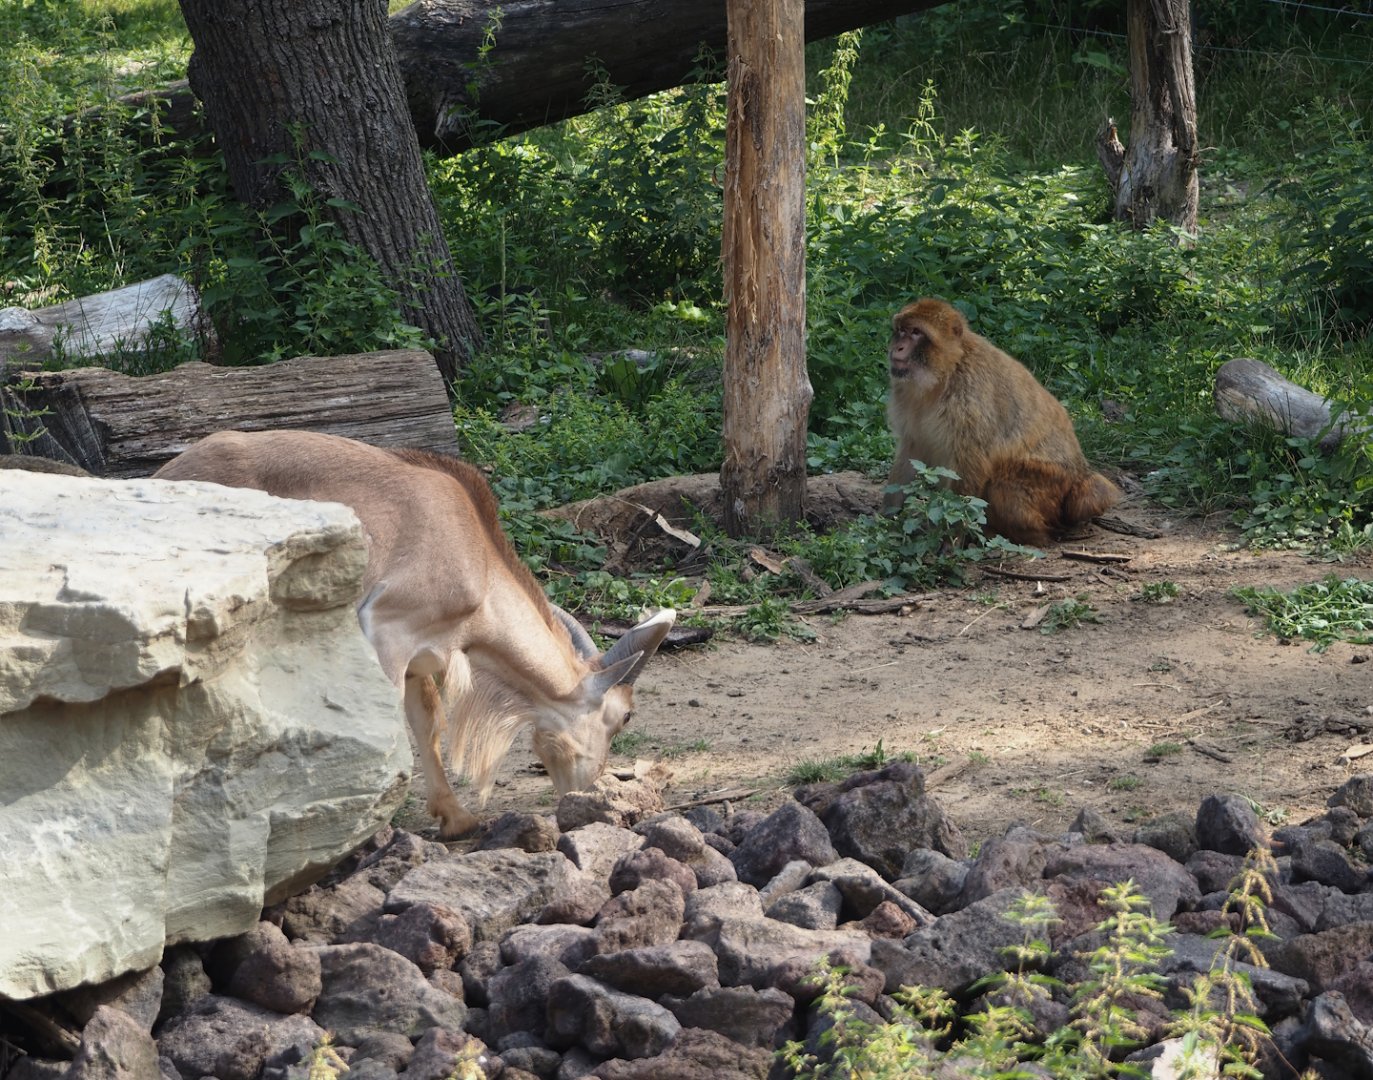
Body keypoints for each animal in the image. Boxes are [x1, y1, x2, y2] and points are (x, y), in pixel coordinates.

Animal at [883, 298, 1121, 547]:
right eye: (901, 330)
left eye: (916, 332)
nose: (897, 348)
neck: (944, 374)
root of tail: (1079, 476)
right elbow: (911, 451)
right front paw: (886, 521)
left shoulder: (969, 398)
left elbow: (971, 463)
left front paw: (950, 540)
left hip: (1050, 485)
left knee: (1000, 483)